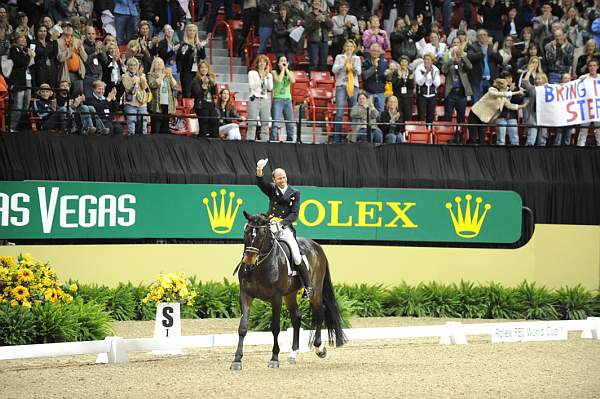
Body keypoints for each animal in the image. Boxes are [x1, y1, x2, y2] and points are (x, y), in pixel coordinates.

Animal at [231, 212, 346, 372]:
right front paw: (237, 360)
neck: (260, 266)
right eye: (246, 232)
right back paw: (293, 354)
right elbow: (242, 327)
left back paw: (319, 348)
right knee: (297, 317)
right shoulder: (246, 295)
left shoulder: (276, 297)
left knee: (319, 312)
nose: (248, 261)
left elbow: (275, 328)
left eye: (262, 234)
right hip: (290, 295)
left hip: (315, 291)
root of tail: (317, 246)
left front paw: (274, 359)